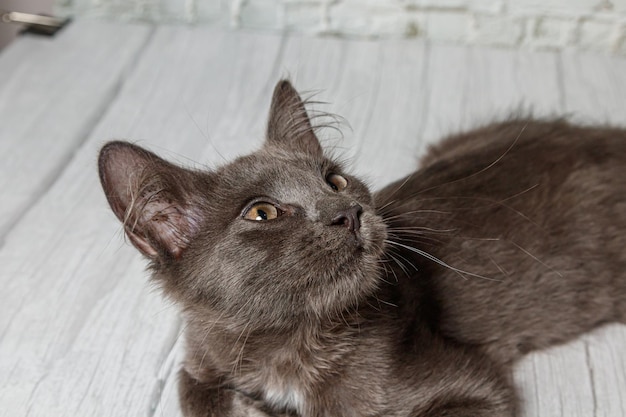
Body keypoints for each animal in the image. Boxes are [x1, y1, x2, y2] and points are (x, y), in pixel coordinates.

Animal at [97, 79, 624, 414]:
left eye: (334, 180)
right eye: (262, 213)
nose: (349, 212)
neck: (286, 345)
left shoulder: (477, 389)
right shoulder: (197, 358)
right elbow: (196, 395)